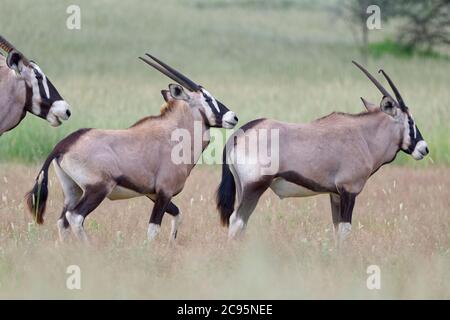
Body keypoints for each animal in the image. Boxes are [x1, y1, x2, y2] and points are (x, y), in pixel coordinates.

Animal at [25, 53, 239, 242]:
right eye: (208, 99)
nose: (233, 117)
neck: (175, 133)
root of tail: (65, 144)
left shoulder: (153, 194)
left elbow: (178, 214)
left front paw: (172, 242)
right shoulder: (164, 192)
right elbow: (153, 229)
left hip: (72, 191)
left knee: (63, 221)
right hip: (98, 189)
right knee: (75, 217)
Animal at [217, 61, 428, 244]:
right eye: (410, 121)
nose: (424, 148)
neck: (364, 137)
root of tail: (240, 133)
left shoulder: (335, 194)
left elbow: (336, 228)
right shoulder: (349, 190)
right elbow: (345, 229)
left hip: (243, 188)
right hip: (254, 187)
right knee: (237, 221)